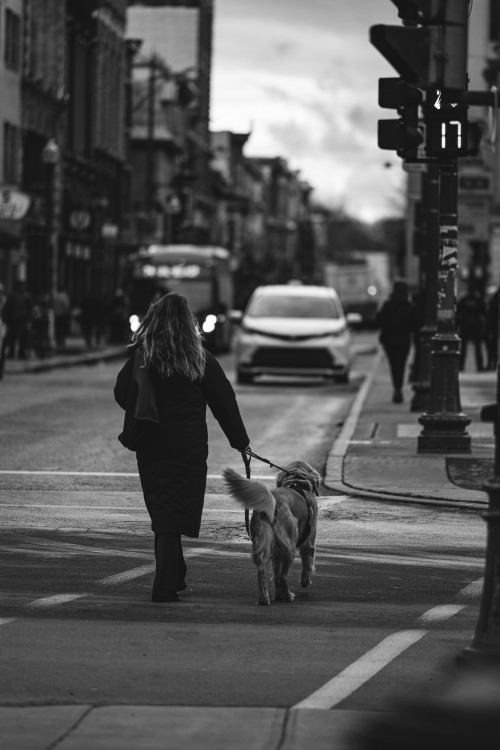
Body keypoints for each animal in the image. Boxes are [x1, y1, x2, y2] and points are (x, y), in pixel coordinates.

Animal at [224, 462, 320, 608]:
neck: (297, 480)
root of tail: (273, 502)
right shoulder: (309, 542)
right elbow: (307, 562)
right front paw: (304, 581)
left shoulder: (276, 552)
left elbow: (275, 575)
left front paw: (278, 595)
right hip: (289, 547)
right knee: (283, 576)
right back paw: (288, 596)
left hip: (262, 543)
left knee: (262, 571)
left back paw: (264, 599)